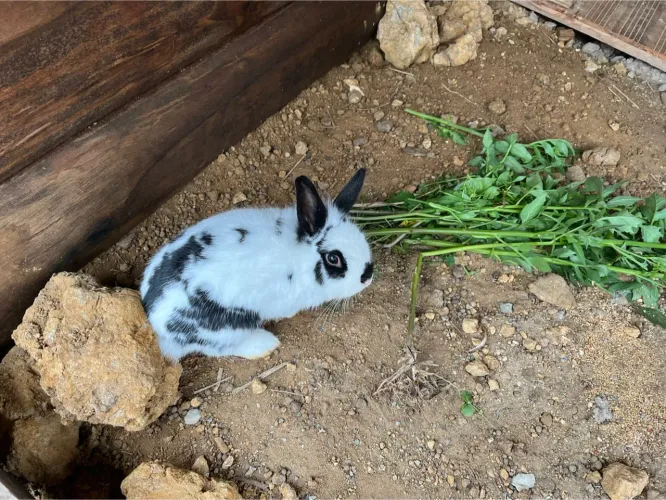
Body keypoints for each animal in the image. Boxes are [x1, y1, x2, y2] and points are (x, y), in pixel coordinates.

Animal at [140, 168, 373, 360]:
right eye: (333, 258)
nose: (367, 276)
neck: (302, 259)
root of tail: (155, 320)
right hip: (225, 329)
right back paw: (264, 345)